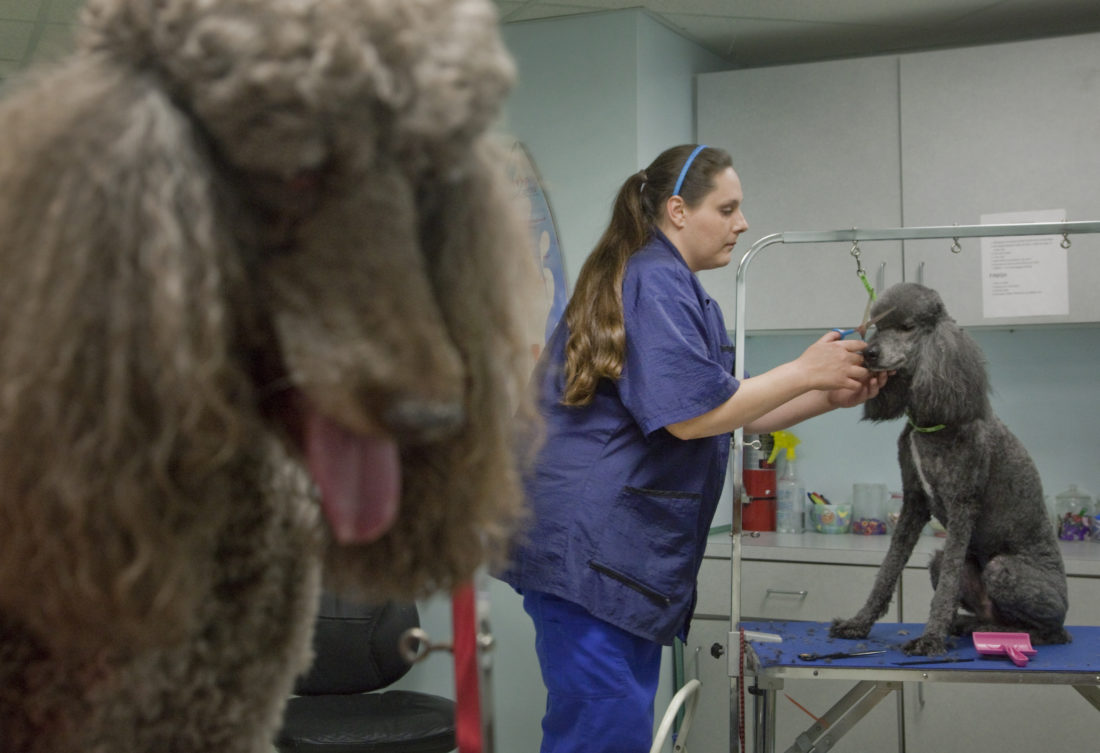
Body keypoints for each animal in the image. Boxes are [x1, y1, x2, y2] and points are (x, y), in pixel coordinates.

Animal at [829, 282, 1070, 656]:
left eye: (907, 327)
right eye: (877, 326)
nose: (868, 353)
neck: (932, 422)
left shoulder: (962, 504)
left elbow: (946, 588)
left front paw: (930, 639)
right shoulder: (914, 502)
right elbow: (888, 569)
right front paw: (859, 623)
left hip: (1006, 571)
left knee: (1051, 631)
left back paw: (998, 632)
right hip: (938, 560)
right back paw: (970, 624)